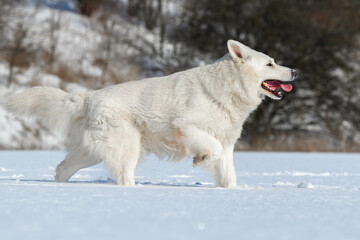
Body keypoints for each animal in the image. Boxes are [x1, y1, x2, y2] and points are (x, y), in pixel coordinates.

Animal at [2, 39, 296, 188]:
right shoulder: (188, 128)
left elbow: (228, 175)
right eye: (270, 63)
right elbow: (210, 149)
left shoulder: (227, 144)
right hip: (127, 147)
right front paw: (199, 160)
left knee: (63, 168)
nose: (294, 71)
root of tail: (89, 97)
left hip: (91, 151)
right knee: (123, 176)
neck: (227, 88)